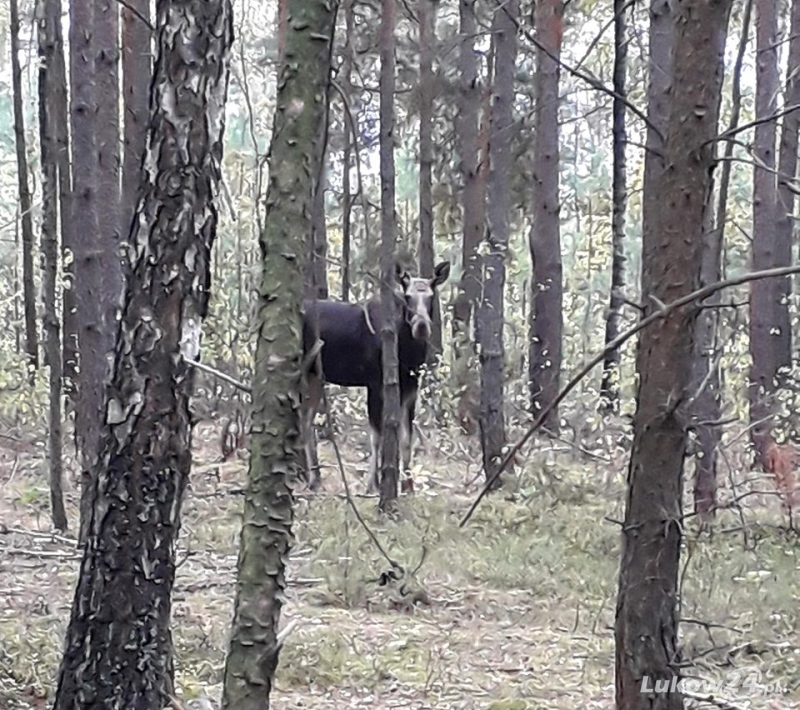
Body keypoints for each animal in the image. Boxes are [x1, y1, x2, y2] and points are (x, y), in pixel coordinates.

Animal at [300, 262, 450, 496]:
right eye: (407, 297)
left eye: (431, 296)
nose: (421, 326)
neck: (407, 353)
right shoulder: (374, 383)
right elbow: (376, 436)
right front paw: (373, 484)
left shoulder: (410, 389)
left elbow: (406, 439)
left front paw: (408, 485)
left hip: (315, 375)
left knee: (305, 420)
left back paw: (315, 479)